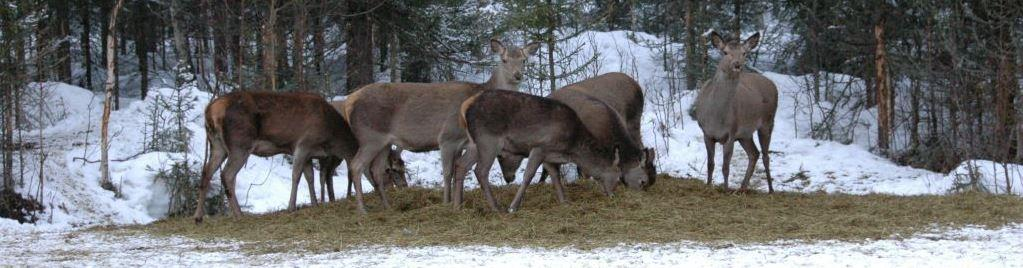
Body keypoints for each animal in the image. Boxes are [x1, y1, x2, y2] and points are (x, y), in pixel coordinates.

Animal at [194, 91, 360, 222]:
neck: (331, 137)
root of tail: (211, 110)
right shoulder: (303, 144)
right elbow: (296, 176)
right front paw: (291, 207)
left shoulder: (308, 154)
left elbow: (310, 177)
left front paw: (315, 203)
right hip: (240, 144)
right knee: (227, 175)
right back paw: (239, 214)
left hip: (217, 145)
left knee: (206, 172)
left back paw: (198, 217)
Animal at [341, 38, 540, 212]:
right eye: (504, 60)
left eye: (523, 60)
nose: (517, 75)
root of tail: (349, 102)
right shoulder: (447, 137)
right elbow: (447, 172)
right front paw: (447, 203)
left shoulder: (462, 143)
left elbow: (457, 169)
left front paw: (458, 201)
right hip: (370, 137)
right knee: (357, 166)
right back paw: (362, 209)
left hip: (383, 142)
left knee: (376, 170)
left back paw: (387, 207)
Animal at [452, 90, 642, 211]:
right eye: (618, 176)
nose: (613, 196)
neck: (571, 147)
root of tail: (465, 107)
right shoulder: (539, 147)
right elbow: (528, 175)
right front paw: (513, 207)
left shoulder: (550, 156)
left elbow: (556, 176)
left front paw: (564, 201)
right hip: (488, 141)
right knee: (480, 170)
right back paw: (496, 207)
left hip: (474, 143)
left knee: (461, 165)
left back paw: (457, 205)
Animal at [699, 31, 777, 192]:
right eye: (725, 52)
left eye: (744, 53)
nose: (737, 64)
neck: (716, 116)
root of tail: (772, 84)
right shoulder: (706, 133)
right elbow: (710, 164)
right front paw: (708, 186)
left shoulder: (731, 133)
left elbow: (725, 167)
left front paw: (725, 189)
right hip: (745, 134)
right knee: (754, 153)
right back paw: (742, 188)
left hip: (768, 121)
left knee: (765, 155)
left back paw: (771, 189)